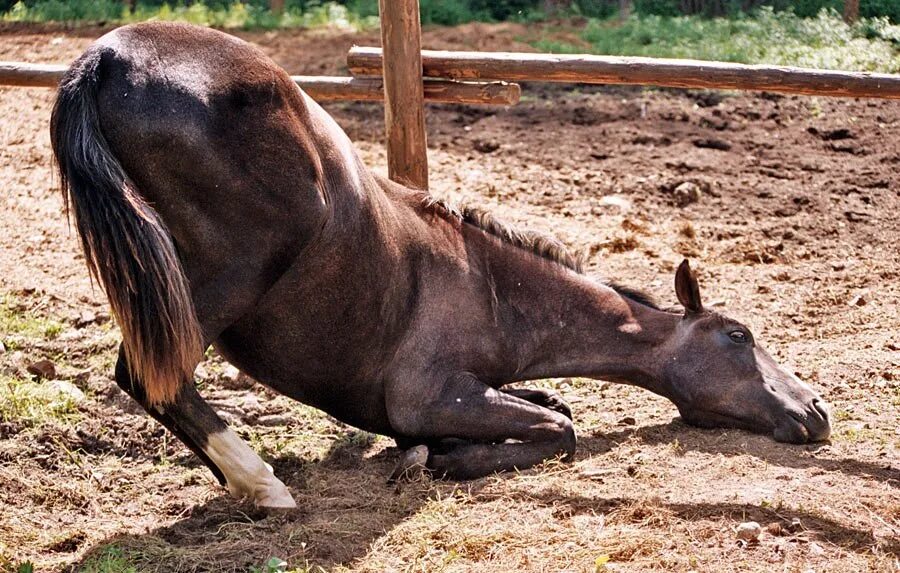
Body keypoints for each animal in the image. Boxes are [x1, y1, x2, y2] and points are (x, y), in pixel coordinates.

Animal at [51, 22, 828, 508]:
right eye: (739, 335)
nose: (818, 409)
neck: (491, 288)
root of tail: (111, 56)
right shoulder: (430, 394)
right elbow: (560, 430)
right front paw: (441, 457)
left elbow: (556, 408)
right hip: (219, 281)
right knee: (150, 377)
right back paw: (264, 485)